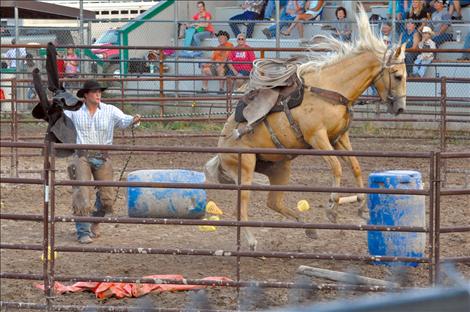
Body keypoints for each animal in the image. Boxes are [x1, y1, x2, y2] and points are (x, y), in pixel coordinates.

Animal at [206, 7, 408, 251]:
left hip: (279, 168)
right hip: (245, 166)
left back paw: (308, 227)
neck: (331, 88)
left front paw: (361, 206)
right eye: (397, 75)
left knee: (274, 203)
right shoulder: (318, 138)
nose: (400, 108)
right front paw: (332, 208)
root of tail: (220, 147)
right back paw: (252, 240)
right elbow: (337, 168)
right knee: (242, 205)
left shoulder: (339, 138)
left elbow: (356, 166)